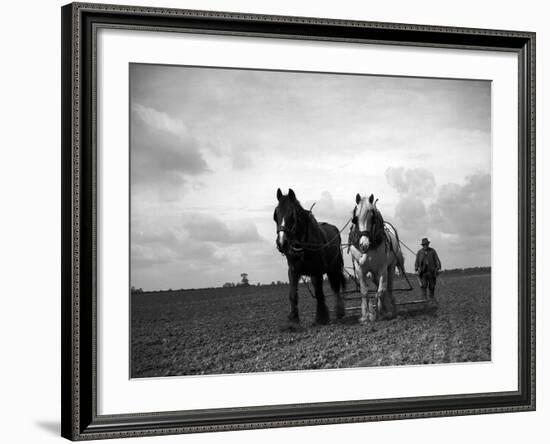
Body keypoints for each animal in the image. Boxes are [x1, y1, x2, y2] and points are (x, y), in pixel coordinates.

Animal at [274, 188, 348, 326]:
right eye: (276, 215)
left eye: (293, 215)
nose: (282, 243)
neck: (302, 244)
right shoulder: (293, 271)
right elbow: (292, 294)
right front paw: (293, 320)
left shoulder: (316, 271)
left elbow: (319, 293)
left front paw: (322, 317)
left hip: (334, 267)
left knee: (335, 286)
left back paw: (339, 312)